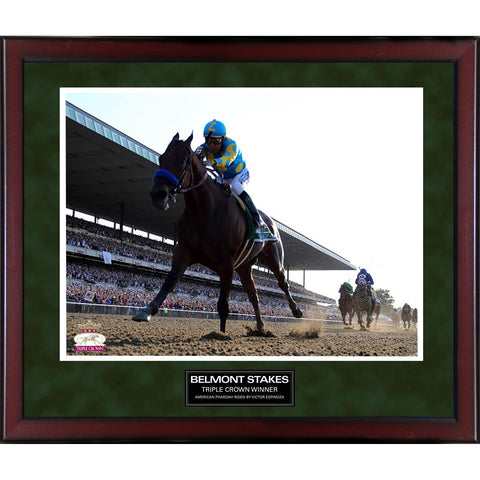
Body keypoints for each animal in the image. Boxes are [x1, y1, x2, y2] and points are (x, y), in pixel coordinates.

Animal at [131, 133, 304, 332]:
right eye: (161, 158)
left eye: (182, 161)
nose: (157, 195)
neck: (205, 211)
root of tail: (271, 222)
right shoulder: (184, 250)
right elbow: (170, 281)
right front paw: (147, 310)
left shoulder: (227, 263)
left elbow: (223, 304)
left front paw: (221, 334)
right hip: (244, 267)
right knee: (253, 295)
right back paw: (260, 326)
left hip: (274, 258)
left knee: (282, 282)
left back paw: (296, 310)